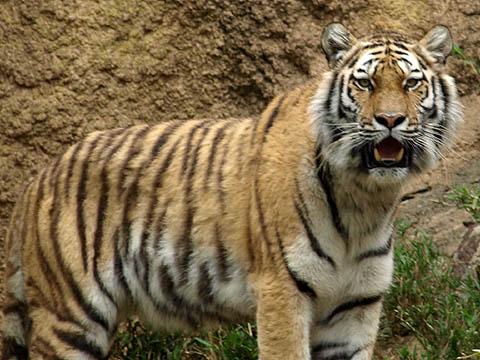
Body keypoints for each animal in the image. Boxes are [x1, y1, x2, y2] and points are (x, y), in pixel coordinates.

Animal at [0, 23, 462, 360]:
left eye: (412, 83)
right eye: (365, 83)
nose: (390, 120)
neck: (365, 200)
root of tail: (35, 181)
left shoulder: (356, 306)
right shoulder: (282, 291)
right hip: (70, 318)